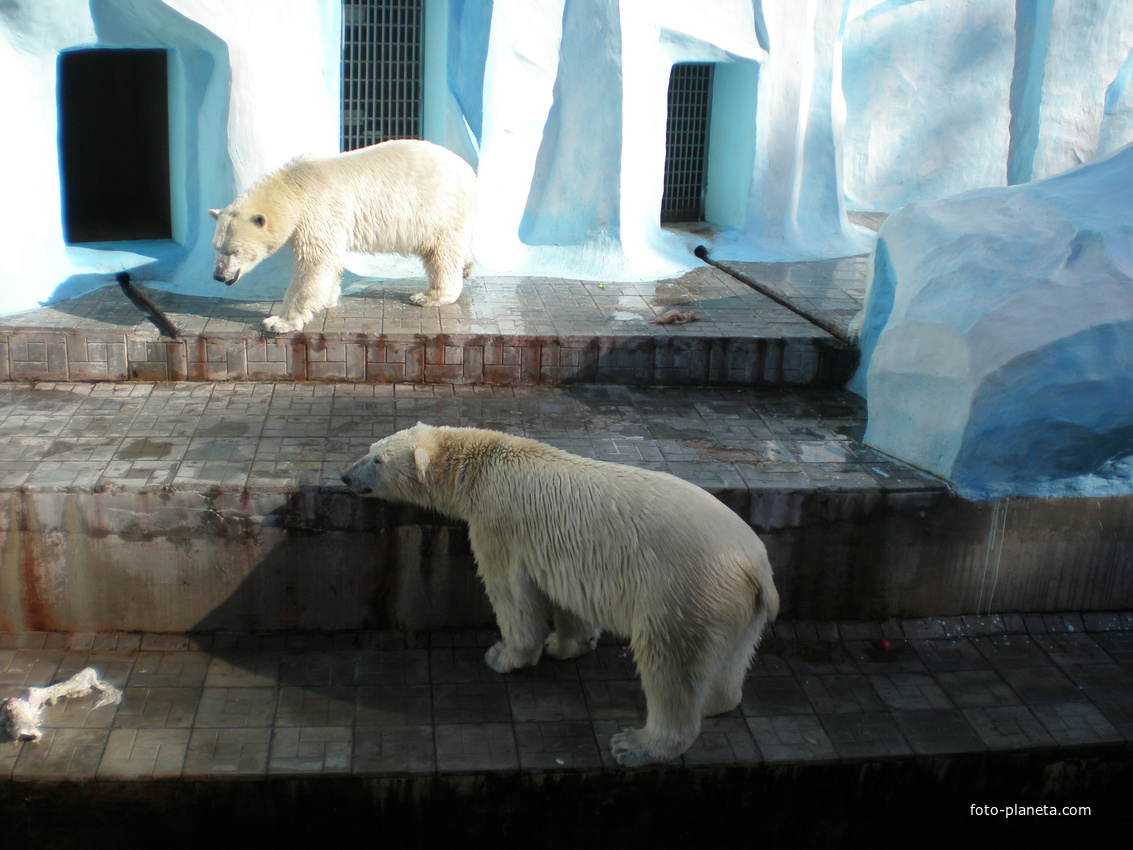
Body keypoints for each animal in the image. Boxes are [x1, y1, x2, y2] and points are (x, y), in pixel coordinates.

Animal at [210, 138, 475, 333]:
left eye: (234, 251)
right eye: (215, 247)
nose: (219, 275)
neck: (294, 185)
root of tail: (468, 169)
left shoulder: (318, 209)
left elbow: (316, 261)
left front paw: (279, 322)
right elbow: (329, 262)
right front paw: (327, 298)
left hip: (437, 207)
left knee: (441, 252)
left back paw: (430, 296)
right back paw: (466, 266)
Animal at [337, 428, 779, 770]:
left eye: (377, 459)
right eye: (371, 447)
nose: (344, 475)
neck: (482, 466)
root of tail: (754, 566)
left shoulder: (498, 522)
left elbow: (511, 592)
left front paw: (506, 655)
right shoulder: (563, 553)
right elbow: (568, 598)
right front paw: (566, 644)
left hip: (683, 589)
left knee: (669, 661)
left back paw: (637, 744)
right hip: (737, 604)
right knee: (732, 657)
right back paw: (716, 702)